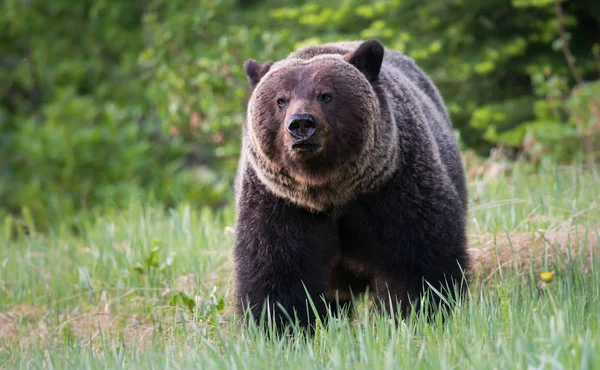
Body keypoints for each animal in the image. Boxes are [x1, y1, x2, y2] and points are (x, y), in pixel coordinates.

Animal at [232, 38, 472, 332]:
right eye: (280, 99)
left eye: (326, 95)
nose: (301, 124)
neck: (330, 191)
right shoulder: (280, 203)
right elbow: (276, 270)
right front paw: (281, 327)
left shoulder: (395, 187)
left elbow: (419, 257)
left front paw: (417, 313)